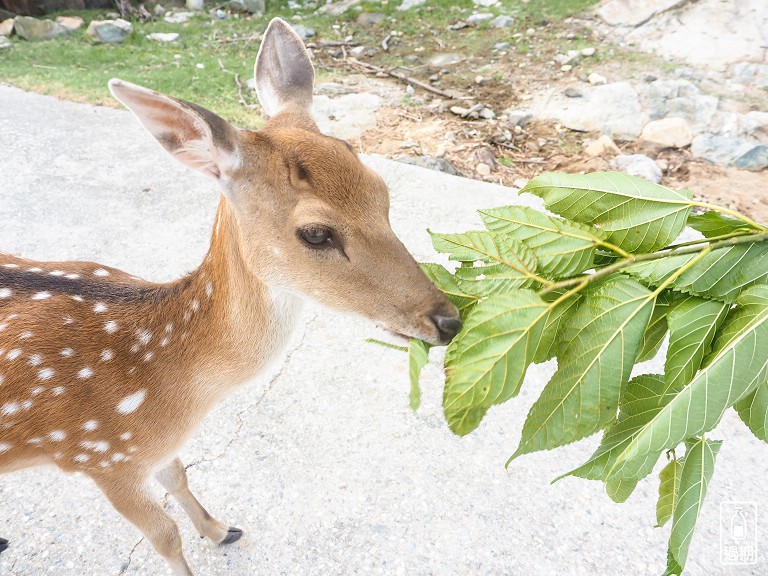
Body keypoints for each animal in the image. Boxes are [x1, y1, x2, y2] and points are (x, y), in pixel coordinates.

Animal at [0, 18, 462, 576]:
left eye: (383, 191)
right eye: (316, 233)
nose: (448, 321)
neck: (162, 387)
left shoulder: (151, 451)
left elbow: (179, 477)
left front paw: (221, 530)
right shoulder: (99, 454)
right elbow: (163, 537)